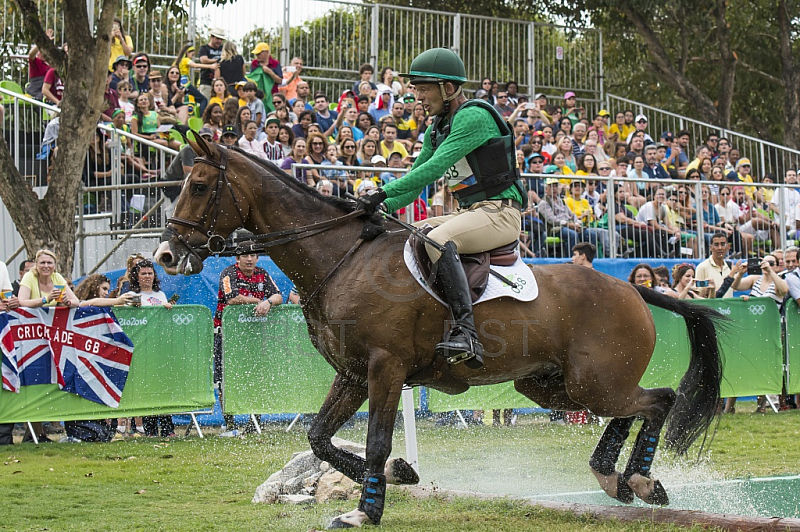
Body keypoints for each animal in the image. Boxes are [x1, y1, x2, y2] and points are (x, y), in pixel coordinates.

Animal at [155, 138, 724, 532]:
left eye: (199, 186)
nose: (165, 255)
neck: (340, 257)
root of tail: (633, 287)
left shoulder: (385, 368)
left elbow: (375, 441)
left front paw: (366, 510)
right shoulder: (353, 374)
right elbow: (319, 438)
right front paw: (400, 474)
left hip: (593, 382)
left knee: (657, 400)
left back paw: (639, 479)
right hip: (550, 385)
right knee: (635, 406)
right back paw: (617, 477)